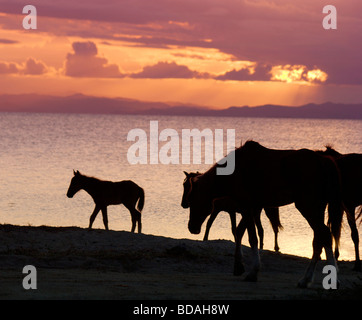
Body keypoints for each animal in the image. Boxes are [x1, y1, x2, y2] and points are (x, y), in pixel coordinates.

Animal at [187, 141, 342, 286]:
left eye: (193, 200)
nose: (191, 228)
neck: (236, 171)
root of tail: (323, 161)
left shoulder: (247, 207)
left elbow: (252, 238)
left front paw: (252, 272)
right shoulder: (252, 208)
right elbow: (240, 232)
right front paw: (239, 266)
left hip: (308, 206)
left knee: (324, 235)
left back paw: (329, 279)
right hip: (317, 208)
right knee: (319, 240)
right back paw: (306, 280)